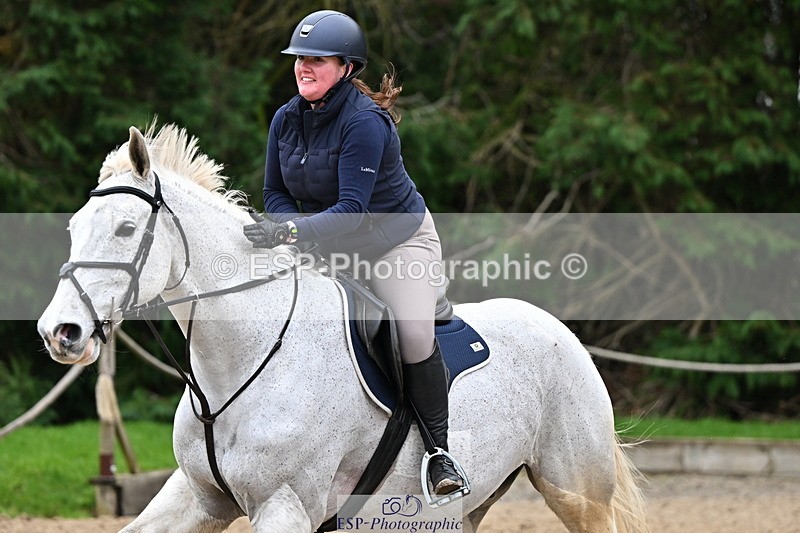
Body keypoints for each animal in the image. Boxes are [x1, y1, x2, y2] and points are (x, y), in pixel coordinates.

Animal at [37, 124, 648, 533]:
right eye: (72, 227)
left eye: (125, 228)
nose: (59, 333)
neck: (237, 361)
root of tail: (559, 331)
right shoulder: (196, 498)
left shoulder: (284, 506)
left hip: (579, 493)